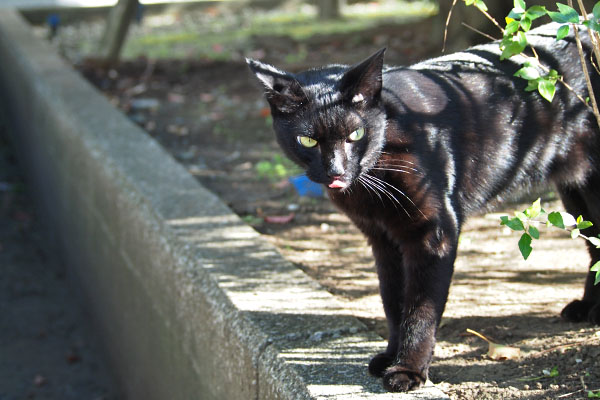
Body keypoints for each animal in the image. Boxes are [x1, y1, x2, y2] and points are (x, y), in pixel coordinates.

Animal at [245, 20, 600, 392]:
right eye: (308, 140)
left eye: (355, 135)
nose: (336, 171)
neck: (380, 170)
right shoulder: (383, 240)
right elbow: (393, 301)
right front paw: (391, 355)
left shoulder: (434, 233)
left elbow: (420, 308)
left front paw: (408, 370)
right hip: (575, 190)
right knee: (594, 244)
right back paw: (587, 308)